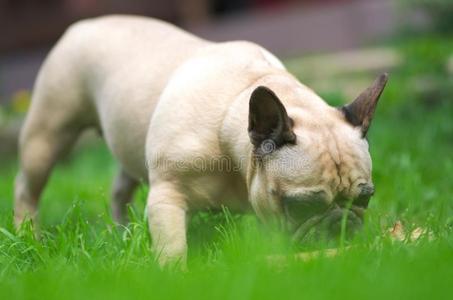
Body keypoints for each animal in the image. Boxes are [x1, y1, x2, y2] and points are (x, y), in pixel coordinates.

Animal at [15, 15, 386, 266]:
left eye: (365, 199)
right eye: (302, 206)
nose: (341, 223)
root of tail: (85, 25)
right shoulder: (167, 195)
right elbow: (173, 246)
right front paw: (174, 275)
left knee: (120, 187)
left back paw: (121, 230)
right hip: (47, 133)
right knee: (27, 186)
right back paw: (26, 233)